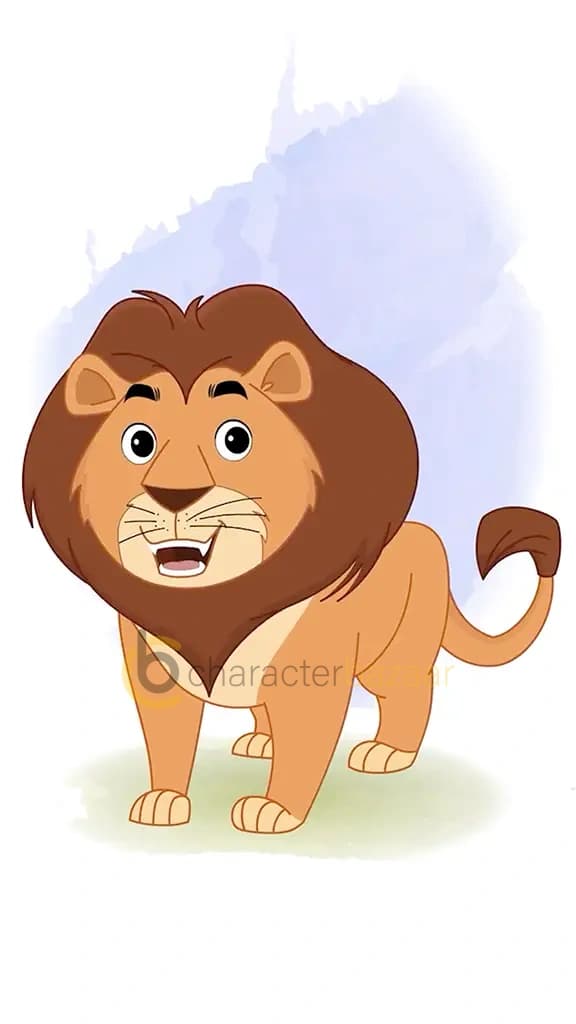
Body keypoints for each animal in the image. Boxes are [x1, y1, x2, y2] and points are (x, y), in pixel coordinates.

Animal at [23, 285, 561, 834]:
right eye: (138, 442)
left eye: (235, 438)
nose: (175, 495)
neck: (213, 602)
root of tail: (421, 533)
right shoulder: (156, 671)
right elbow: (168, 739)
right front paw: (163, 800)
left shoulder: (312, 677)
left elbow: (304, 745)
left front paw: (275, 809)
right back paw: (261, 743)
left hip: (394, 653)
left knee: (411, 694)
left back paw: (389, 752)